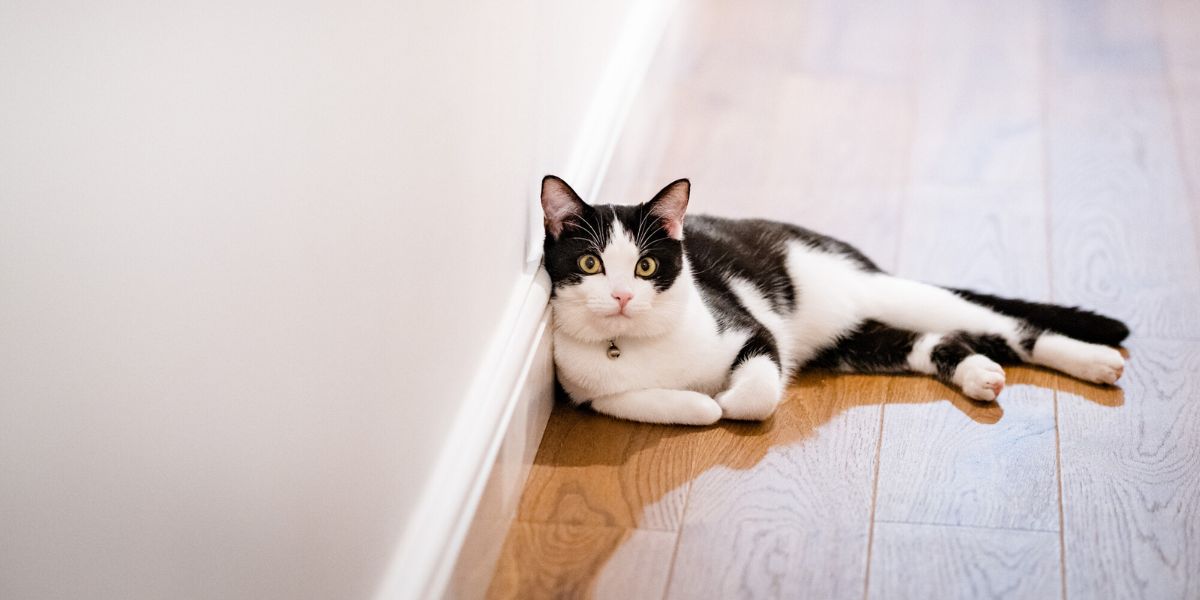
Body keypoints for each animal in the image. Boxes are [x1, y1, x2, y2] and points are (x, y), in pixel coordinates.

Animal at [540, 175, 1128, 427]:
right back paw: (979, 374)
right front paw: (702, 404)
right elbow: (635, 400)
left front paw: (729, 399)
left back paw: (1097, 361)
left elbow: (758, 389)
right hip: (851, 344)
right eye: (590, 264)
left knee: (1010, 328)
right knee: (930, 341)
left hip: (888, 292)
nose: (621, 296)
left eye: (646, 266)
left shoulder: (752, 329)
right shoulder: (587, 391)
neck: (635, 344)